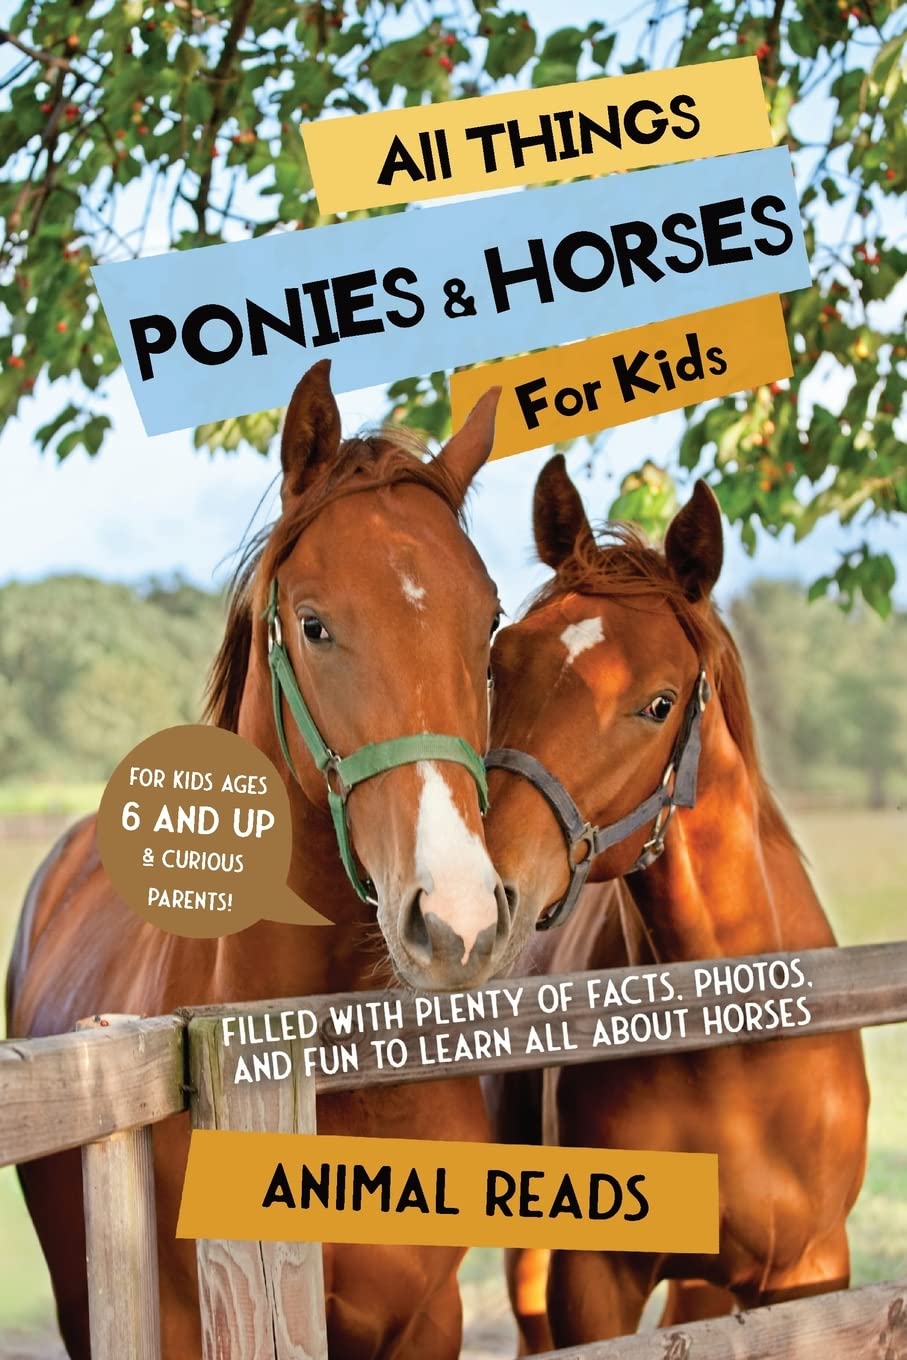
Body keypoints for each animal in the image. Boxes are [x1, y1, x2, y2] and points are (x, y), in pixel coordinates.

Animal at [482, 454, 869, 1351]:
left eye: (658, 703)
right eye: (497, 663)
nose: (477, 885)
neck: (728, 1044)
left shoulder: (809, 1273)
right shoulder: (592, 1280)